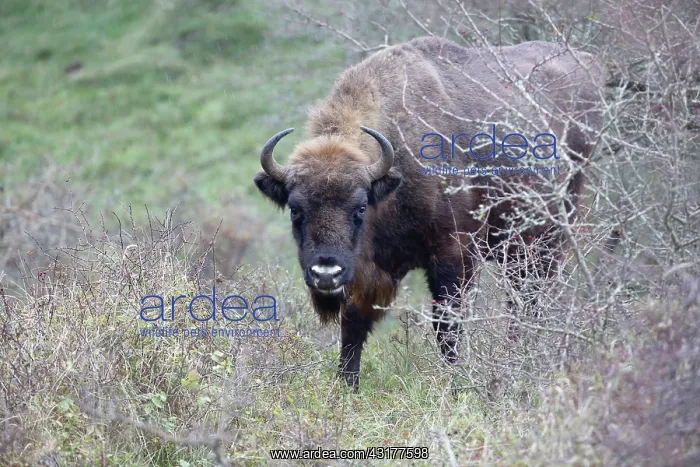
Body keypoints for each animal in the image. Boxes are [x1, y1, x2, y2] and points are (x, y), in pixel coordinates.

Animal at [254, 36, 604, 390]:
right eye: (295, 210)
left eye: (361, 206)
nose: (326, 274)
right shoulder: (367, 270)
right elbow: (353, 325)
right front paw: (347, 385)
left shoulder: (452, 256)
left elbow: (447, 325)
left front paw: (453, 380)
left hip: (546, 238)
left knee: (529, 298)